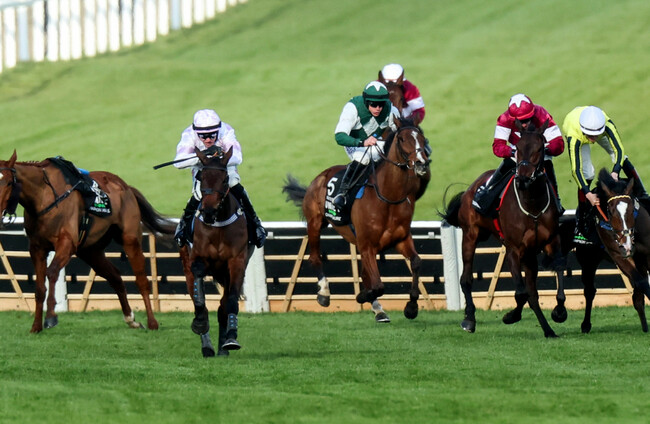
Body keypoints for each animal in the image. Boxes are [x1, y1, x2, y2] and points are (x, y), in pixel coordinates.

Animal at [0, 151, 176, 333]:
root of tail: (126, 187)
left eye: (8, 182)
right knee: (115, 277)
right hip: (91, 251)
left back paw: (152, 322)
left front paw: (51, 317)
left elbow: (52, 272)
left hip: (130, 239)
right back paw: (131, 319)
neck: (44, 196)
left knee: (141, 280)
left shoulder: (67, 244)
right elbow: (40, 287)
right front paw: (36, 326)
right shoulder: (37, 248)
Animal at [178, 146, 254, 357]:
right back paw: (207, 346)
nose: (208, 212)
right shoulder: (197, 258)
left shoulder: (237, 262)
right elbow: (199, 298)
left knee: (222, 306)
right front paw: (200, 323)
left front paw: (231, 339)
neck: (218, 224)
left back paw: (222, 347)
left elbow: (231, 301)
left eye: (225, 179)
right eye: (201, 177)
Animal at [283, 117, 430, 322]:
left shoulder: (400, 239)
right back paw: (324, 293)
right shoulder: (367, 245)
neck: (387, 197)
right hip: (315, 223)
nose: (421, 164)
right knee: (315, 257)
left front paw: (411, 307)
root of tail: (320, 177)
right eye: (402, 139)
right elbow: (377, 285)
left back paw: (379, 310)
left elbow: (415, 262)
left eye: (422, 138)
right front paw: (362, 296)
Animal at [439, 120, 567, 337]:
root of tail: (471, 189)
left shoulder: (551, 242)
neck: (532, 204)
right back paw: (469, 319)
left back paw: (548, 330)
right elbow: (521, 293)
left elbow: (556, 275)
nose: (523, 178)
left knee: (533, 294)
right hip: (471, 235)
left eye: (539, 148)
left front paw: (559, 312)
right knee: (466, 279)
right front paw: (510, 316)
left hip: (529, 257)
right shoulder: (514, 250)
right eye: (519, 149)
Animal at [562, 168, 650, 333]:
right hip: (588, 260)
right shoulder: (619, 255)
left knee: (637, 296)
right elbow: (642, 282)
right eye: (610, 211)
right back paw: (585, 325)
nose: (626, 245)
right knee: (590, 290)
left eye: (631, 209)